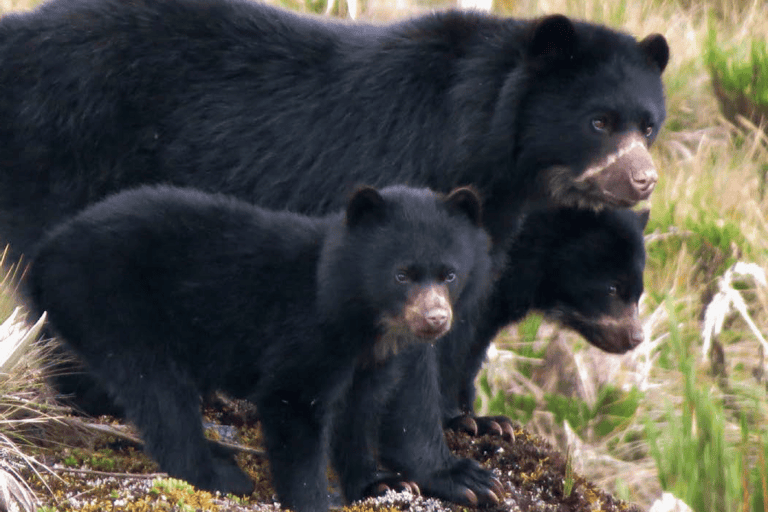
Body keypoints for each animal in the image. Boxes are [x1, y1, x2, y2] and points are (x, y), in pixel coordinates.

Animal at [29, 184, 497, 512]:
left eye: (450, 274)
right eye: (402, 275)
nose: (435, 320)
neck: (365, 320)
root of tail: (45, 253)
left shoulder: (374, 361)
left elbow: (361, 411)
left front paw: (383, 483)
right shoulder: (307, 332)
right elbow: (292, 404)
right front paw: (315, 499)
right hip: (113, 302)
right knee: (158, 392)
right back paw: (219, 475)